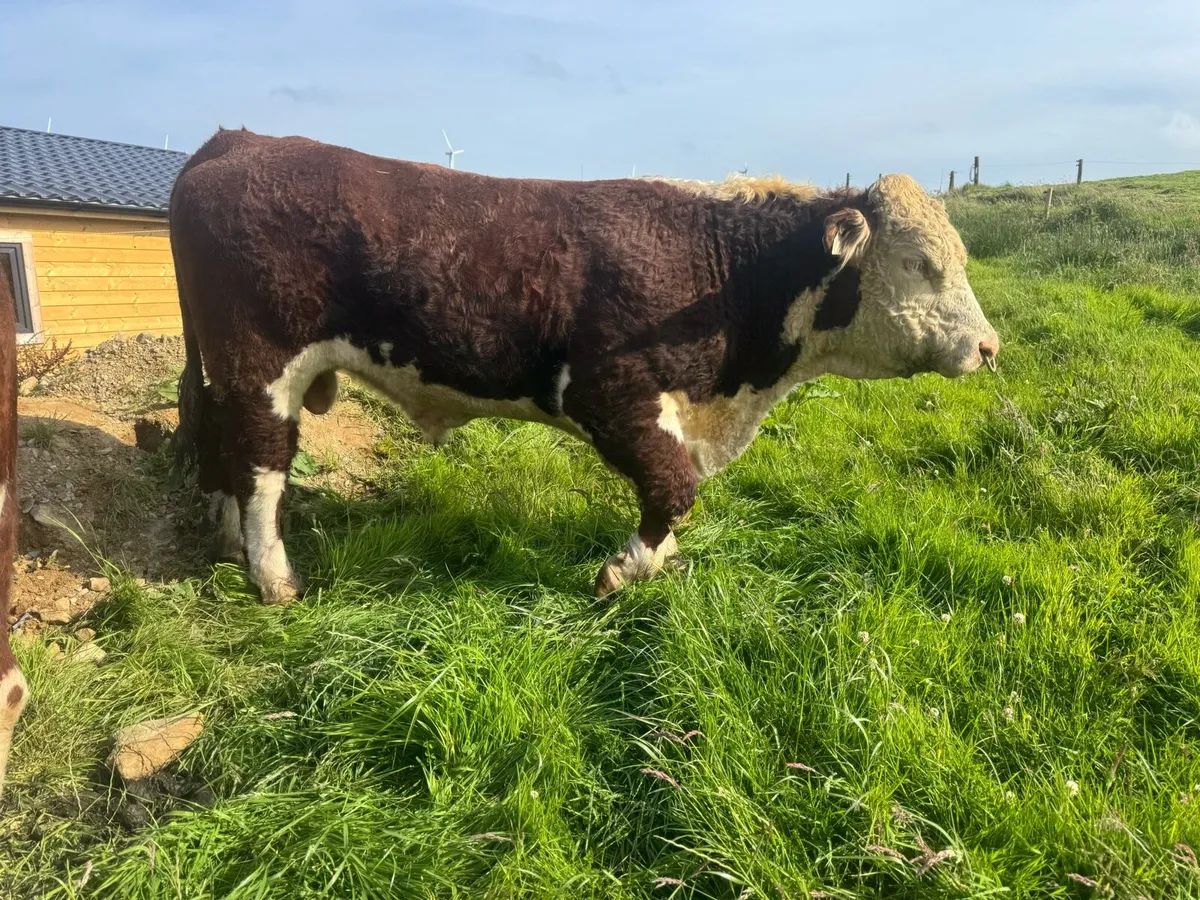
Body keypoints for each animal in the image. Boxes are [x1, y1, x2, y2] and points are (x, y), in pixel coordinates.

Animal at [168, 128, 999, 605]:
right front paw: (625, 570)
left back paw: (227, 540)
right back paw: (273, 577)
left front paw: (659, 563)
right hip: (261, 360)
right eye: (921, 264)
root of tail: (238, 140)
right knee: (263, 463)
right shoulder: (611, 392)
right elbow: (675, 486)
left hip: (229, 367)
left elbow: (676, 491)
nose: (990, 348)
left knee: (220, 443)